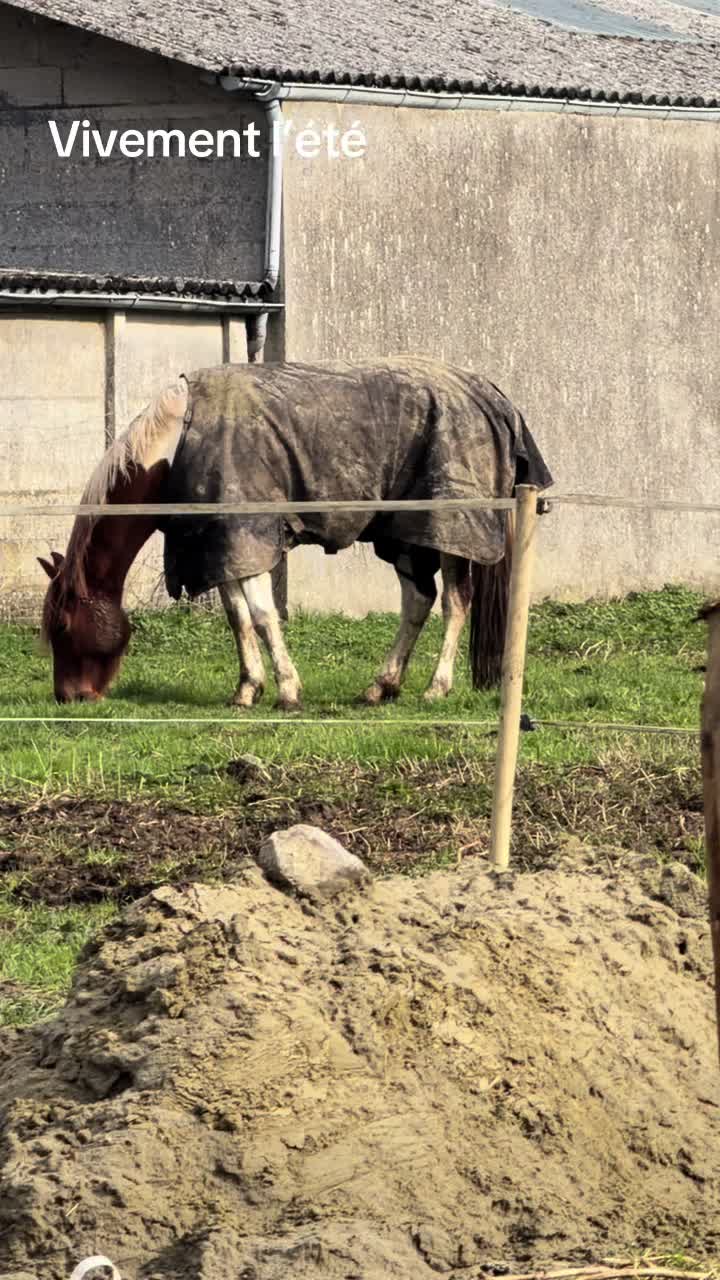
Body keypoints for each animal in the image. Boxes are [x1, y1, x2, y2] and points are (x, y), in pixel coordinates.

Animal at [39, 358, 552, 708]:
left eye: (61, 625)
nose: (70, 696)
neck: (177, 442)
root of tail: (491, 395)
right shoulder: (221, 546)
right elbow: (239, 618)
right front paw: (247, 689)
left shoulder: (247, 536)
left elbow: (264, 616)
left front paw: (286, 690)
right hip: (404, 537)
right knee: (418, 601)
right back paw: (381, 685)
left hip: (448, 529)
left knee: (454, 603)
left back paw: (436, 687)